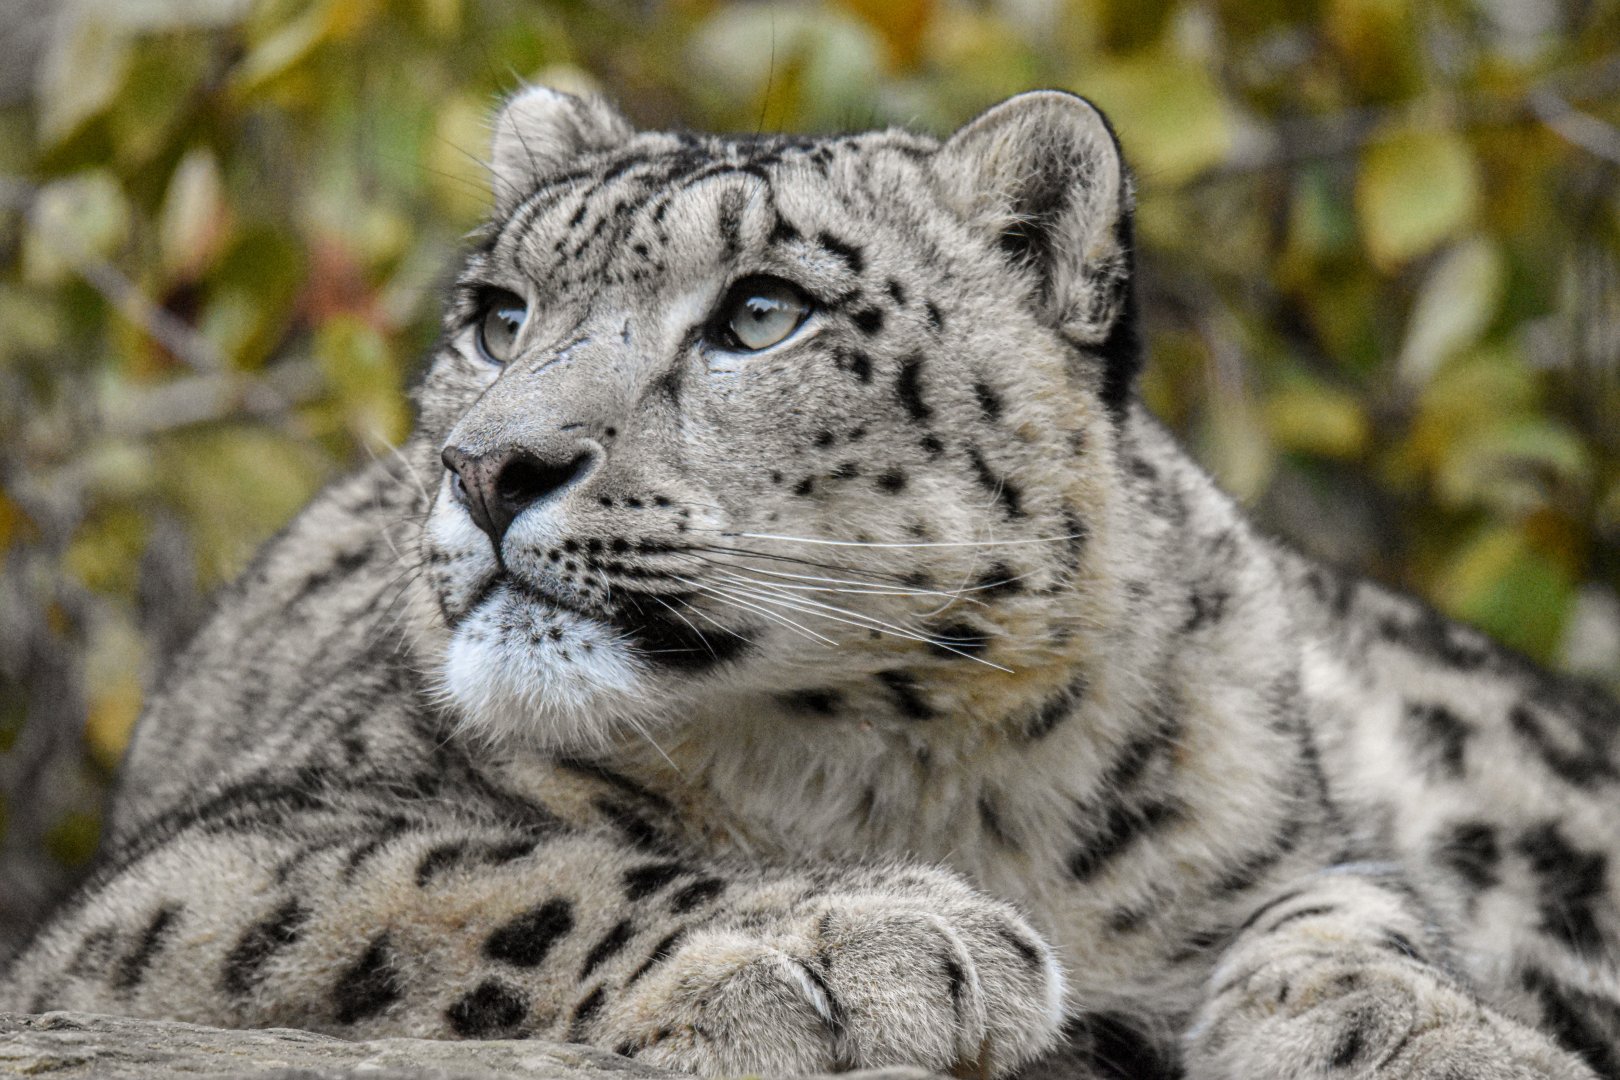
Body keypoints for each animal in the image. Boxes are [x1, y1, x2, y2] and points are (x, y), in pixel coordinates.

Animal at [3, 87, 1618, 1080]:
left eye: (762, 312)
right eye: (499, 315)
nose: (488, 466)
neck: (934, 769)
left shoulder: (1284, 837)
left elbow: (1349, 922)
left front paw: (1444, 1039)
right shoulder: (203, 867)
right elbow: (472, 878)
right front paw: (866, 940)